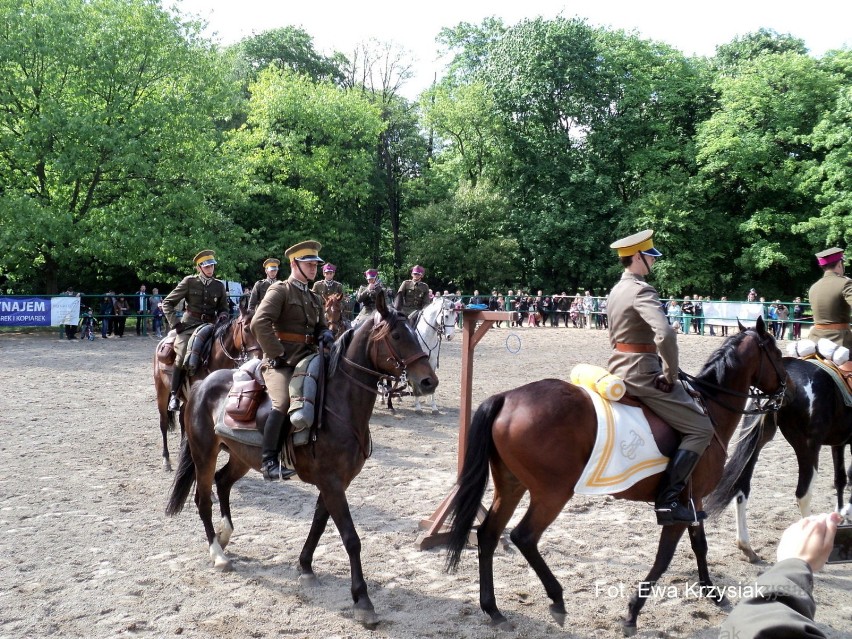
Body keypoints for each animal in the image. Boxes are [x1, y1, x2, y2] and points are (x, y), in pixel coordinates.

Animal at [151, 308, 260, 472]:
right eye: (247, 329)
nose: (259, 356)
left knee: (182, 419)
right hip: (162, 391)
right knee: (163, 423)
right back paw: (166, 459)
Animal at [165, 292, 440, 628]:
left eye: (415, 332)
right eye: (398, 336)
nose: (428, 381)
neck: (338, 403)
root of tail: (201, 385)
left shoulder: (335, 483)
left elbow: (319, 524)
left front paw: (305, 566)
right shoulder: (332, 483)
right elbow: (351, 538)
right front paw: (363, 601)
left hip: (240, 456)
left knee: (223, 482)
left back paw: (225, 533)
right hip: (204, 453)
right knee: (203, 499)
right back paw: (218, 553)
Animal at [446, 318, 784, 636]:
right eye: (779, 354)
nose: (783, 393)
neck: (708, 409)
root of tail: (507, 397)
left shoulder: (693, 500)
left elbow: (699, 545)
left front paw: (712, 593)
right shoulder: (678, 508)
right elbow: (664, 558)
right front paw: (633, 612)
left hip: (511, 486)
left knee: (488, 535)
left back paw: (493, 610)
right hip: (552, 493)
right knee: (523, 536)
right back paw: (557, 599)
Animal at [704, 358, 852, 564]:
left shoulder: (838, 443)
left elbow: (840, 479)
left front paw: (840, 515)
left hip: (759, 441)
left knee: (742, 488)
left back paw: (747, 547)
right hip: (807, 449)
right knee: (803, 494)